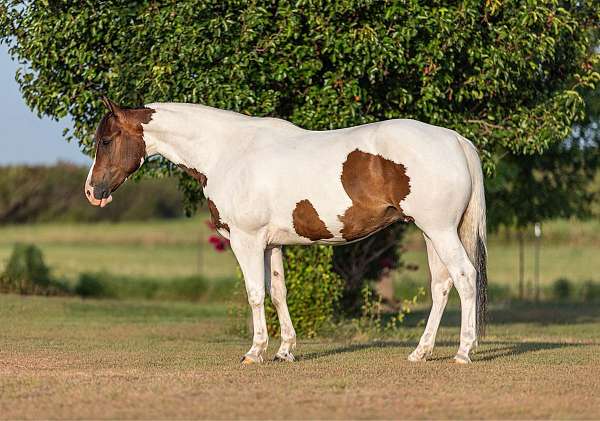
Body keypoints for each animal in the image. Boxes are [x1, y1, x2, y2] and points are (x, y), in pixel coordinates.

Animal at [85, 98, 488, 364]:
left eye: (106, 140)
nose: (93, 192)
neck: (228, 152)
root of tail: (455, 139)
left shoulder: (246, 241)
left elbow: (255, 294)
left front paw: (255, 352)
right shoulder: (270, 244)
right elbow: (278, 293)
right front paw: (285, 350)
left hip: (439, 230)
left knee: (465, 277)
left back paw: (463, 351)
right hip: (432, 232)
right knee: (441, 285)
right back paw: (421, 352)